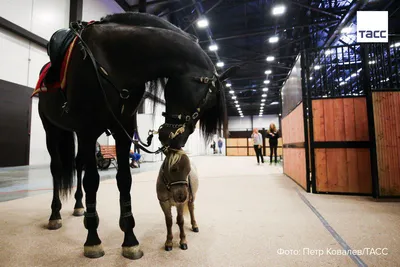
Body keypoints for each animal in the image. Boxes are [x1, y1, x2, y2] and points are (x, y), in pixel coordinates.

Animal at [37, 12, 238, 260]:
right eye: (208, 100)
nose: (175, 140)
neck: (112, 61)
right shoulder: (87, 130)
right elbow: (92, 181)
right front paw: (93, 241)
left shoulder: (122, 131)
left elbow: (124, 180)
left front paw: (130, 240)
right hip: (52, 128)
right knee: (57, 168)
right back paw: (55, 215)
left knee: (78, 164)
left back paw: (78, 206)